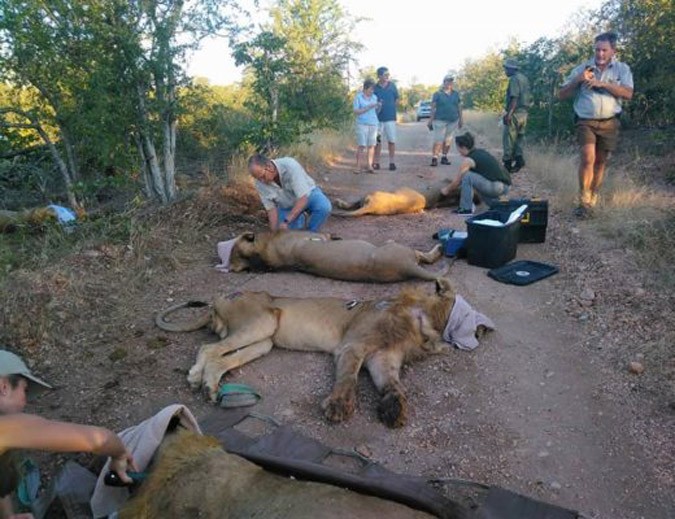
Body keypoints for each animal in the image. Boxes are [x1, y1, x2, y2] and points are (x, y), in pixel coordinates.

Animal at [158, 280, 464, 426]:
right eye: (458, 311)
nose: (470, 336)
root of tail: (218, 301)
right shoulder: (353, 345)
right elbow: (348, 377)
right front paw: (338, 407)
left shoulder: (383, 358)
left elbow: (394, 385)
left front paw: (394, 408)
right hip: (262, 321)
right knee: (208, 347)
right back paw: (202, 381)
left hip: (264, 341)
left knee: (219, 356)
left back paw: (203, 382)